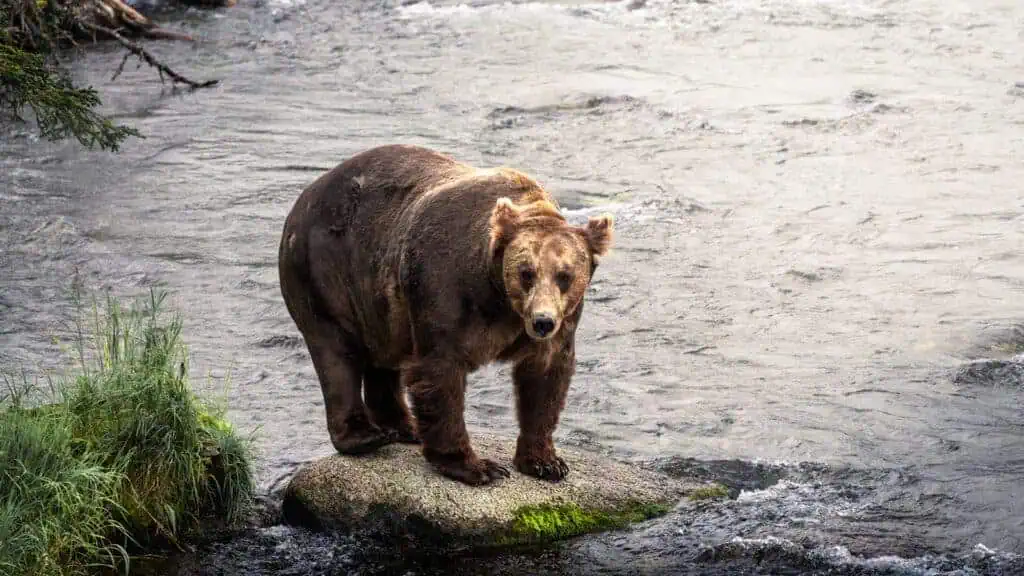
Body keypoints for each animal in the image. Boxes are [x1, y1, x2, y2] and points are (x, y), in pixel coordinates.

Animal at [277, 144, 614, 486]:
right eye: (526, 272)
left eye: (565, 275)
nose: (543, 322)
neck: (499, 298)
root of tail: (303, 199)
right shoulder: (444, 288)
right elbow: (440, 373)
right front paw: (478, 466)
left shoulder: (562, 321)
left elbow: (544, 378)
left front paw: (545, 461)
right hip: (326, 270)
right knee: (336, 352)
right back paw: (365, 435)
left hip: (378, 298)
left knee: (383, 358)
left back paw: (403, 427)